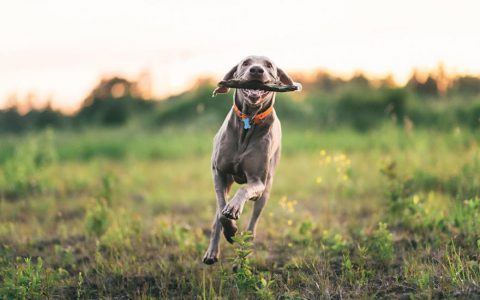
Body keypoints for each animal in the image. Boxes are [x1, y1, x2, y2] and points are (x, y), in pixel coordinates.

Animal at [202, 55, 300, 264]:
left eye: (269, 65)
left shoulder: (258, 182)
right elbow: (221, 212)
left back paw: (242, 255)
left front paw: (234, 209)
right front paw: (230, 229)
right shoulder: (218, 172)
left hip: (266, 190)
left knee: (252, 226)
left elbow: (245, 190)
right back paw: (212, 252)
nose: (256, 70)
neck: (249, 119)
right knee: (218, 215)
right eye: (246, 62)